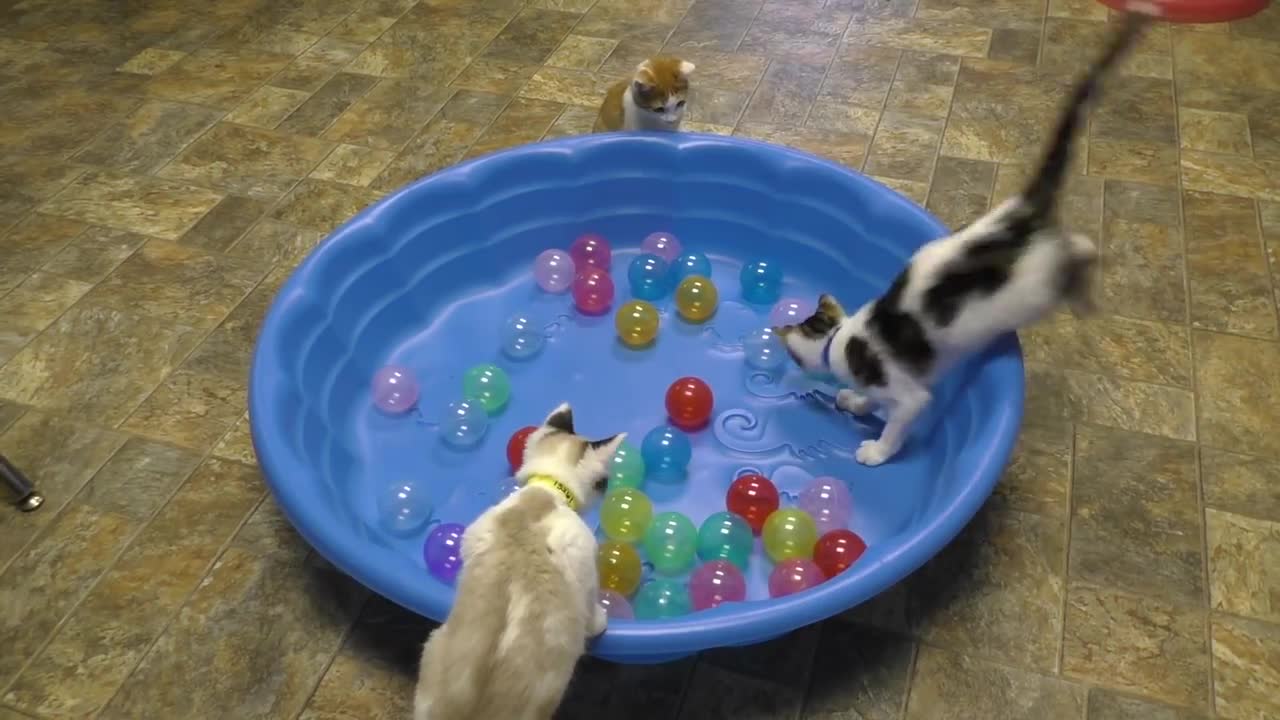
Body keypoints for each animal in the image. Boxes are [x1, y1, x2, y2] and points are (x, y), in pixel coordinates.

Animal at [414, 399, 624, 717]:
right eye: (605, 483)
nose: (608, 490)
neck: (544, 492)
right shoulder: (586, 568)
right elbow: (593, 612)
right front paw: (601, 622)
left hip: (432, 648)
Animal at [773, 15, 1157, 471]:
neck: (841, 339)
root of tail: (1021, 215)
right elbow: (875, 401)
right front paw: (858, 402)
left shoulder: (910, 394)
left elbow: (899, 420)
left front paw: (877, 449)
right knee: (1078, 241)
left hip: (1035, 291)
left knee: (1078, 251)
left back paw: (1085, 295)